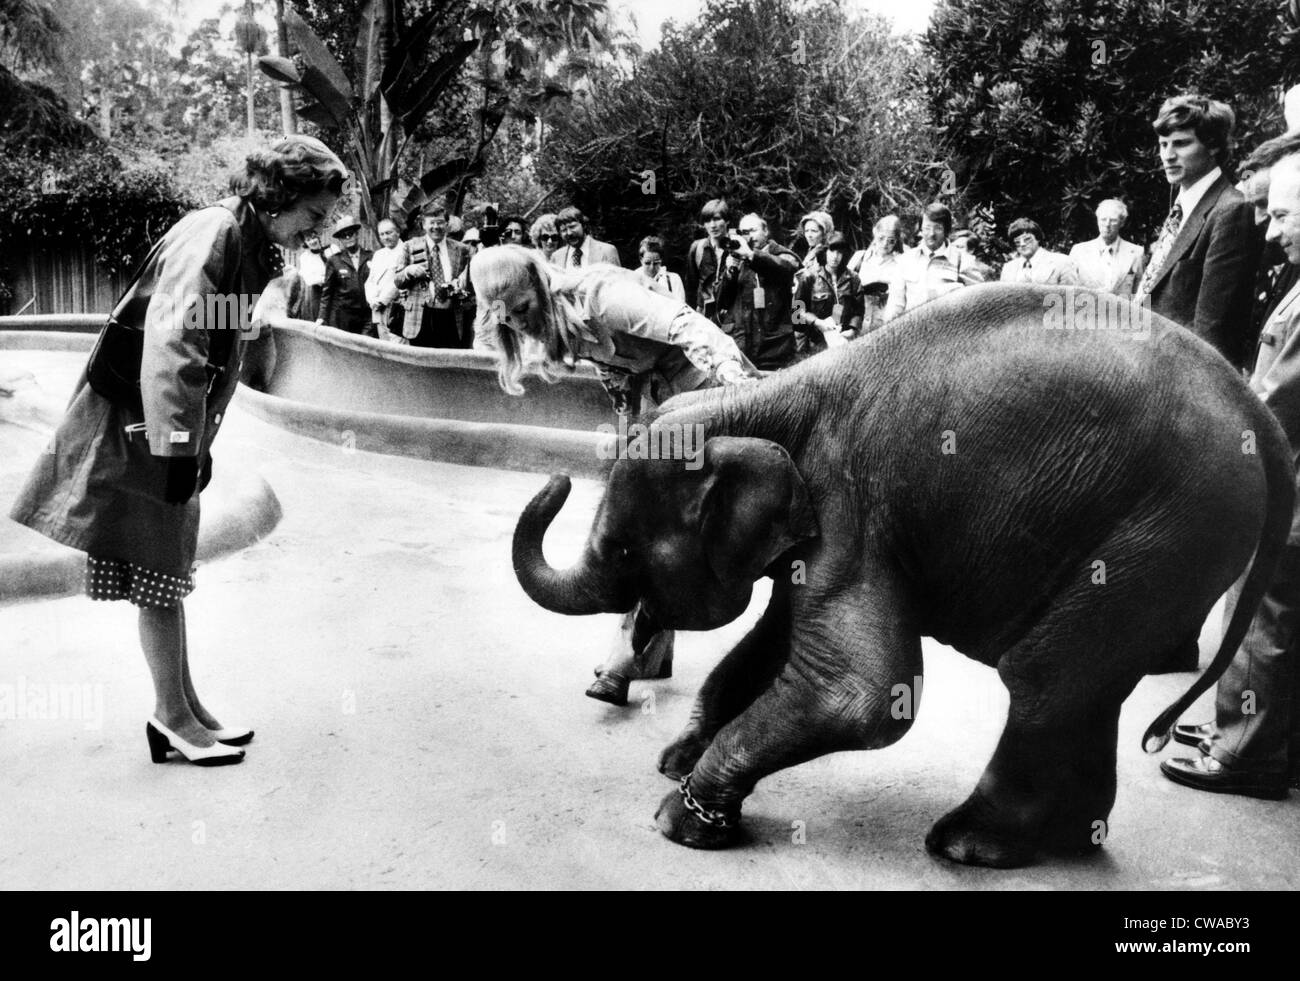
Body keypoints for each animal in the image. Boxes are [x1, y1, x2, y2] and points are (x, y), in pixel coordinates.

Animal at [509, 284, 1289, 867]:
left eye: (623, 553)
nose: (556, 477)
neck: (766, 395)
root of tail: (1258, 409)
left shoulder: (849, 502)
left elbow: (861, 692)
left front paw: (679, 819)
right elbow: (774, 642)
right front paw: (675, 758)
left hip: (1169, 527)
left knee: (1046, 677)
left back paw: (966, 844)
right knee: (1087, 684)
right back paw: (1070, 841)